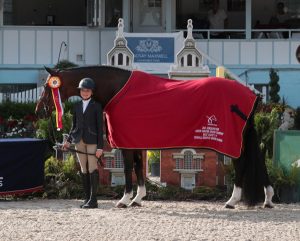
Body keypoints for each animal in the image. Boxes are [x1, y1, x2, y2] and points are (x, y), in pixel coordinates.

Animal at [35, 66, 274, 209]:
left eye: (48, 86)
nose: (39, 110)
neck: (118, 89)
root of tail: (252, 94)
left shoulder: (126, 144)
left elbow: (128, 169)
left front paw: (124, 200)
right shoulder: (135, 142)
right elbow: (139, 169)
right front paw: (138, 198)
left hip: (231, 142)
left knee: (241, 165)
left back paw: (232, 200)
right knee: (259, 163)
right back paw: (268, 199)